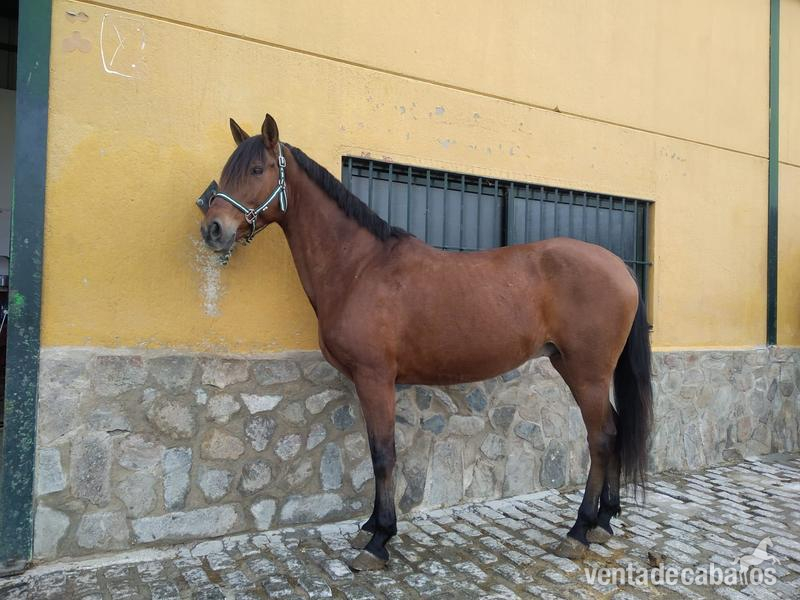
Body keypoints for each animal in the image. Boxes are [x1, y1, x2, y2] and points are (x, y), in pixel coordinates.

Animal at [198, 113, 653, 571]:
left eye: (257, 169)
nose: (212, 229)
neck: (359, 267)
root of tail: (618, 266)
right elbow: (376, 451)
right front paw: (370, 527)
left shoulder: (375, 378)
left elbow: (383, 454)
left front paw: (379, 539)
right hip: (575, 367)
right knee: (614, 428)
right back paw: (604, 521)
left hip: (586, 371)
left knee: (601, 438)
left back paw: (579, 530)